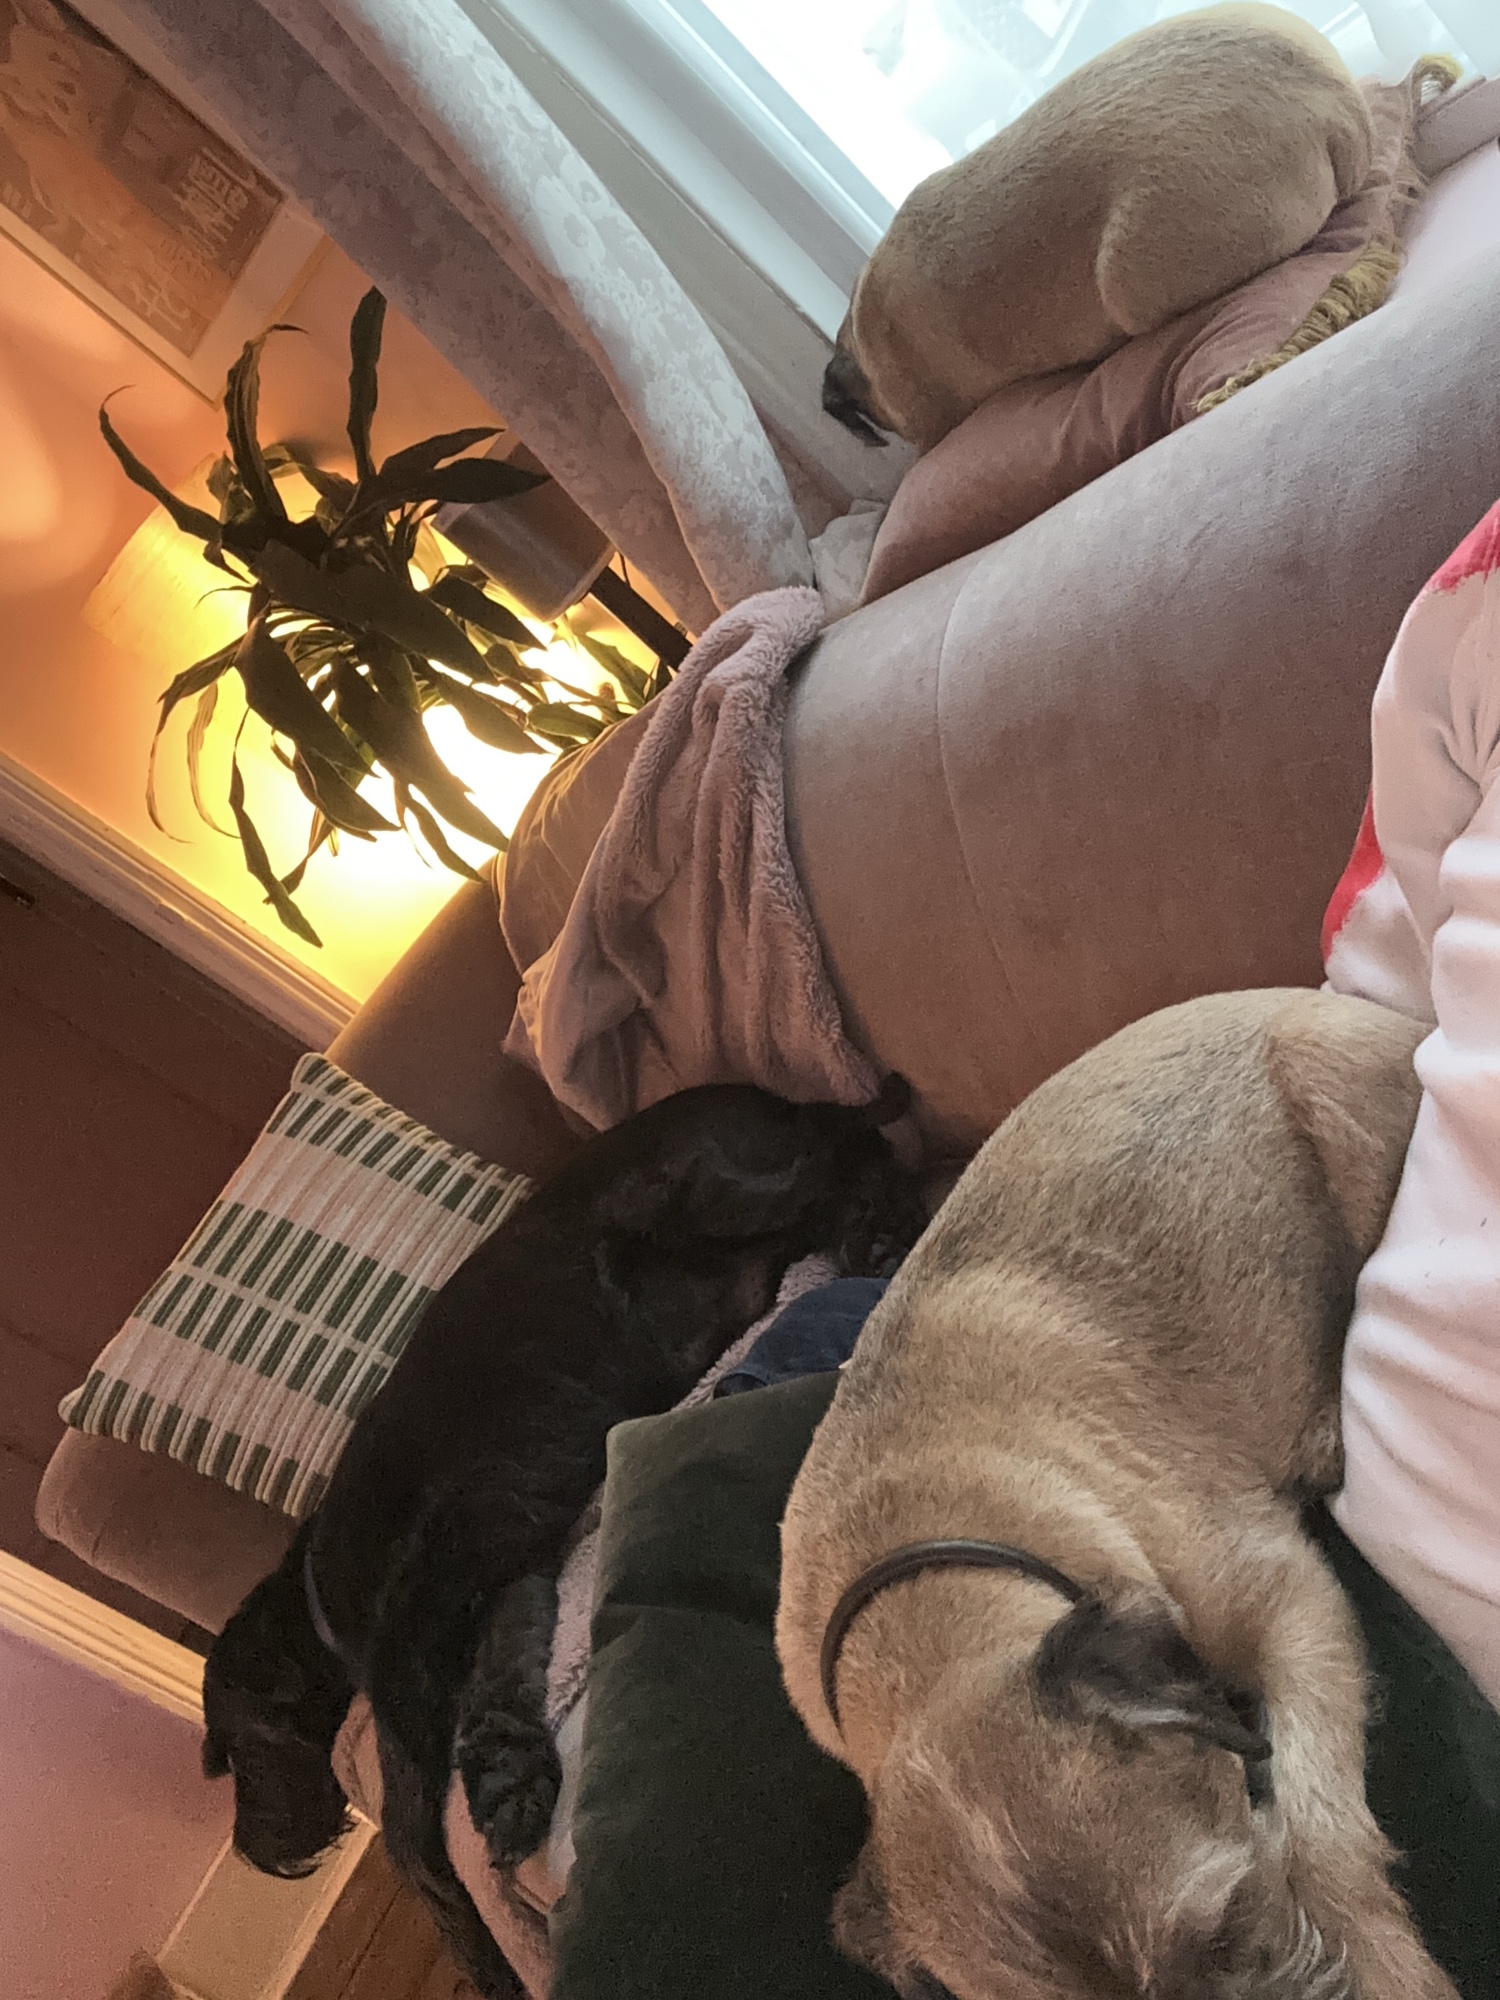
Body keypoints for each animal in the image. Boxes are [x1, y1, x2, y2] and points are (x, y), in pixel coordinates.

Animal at [203, 1081, 925, 1996]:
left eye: (235, 1751)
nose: (254, 1853)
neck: (311, 1594)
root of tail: (765, 1095)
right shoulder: (503, 1567)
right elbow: (497, 1689)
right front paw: (510, 1782)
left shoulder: (431, 1595)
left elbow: (406, 1811)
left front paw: (467, 1935)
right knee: (849, 1169)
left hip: (708, 1190)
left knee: (841, 1143)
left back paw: (879, 1203)